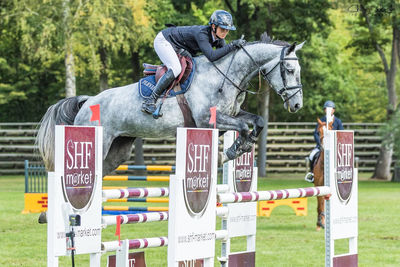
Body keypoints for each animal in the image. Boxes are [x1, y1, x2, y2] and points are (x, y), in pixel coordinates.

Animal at [38, 36, 306, 177]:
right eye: (289, 69)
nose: (297, 104)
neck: (225, 75)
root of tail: (88, 102)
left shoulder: (231, 114)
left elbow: (256, 121)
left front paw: (240, 147)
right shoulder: (208, 120)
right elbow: (241, 127)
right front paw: (237, 148)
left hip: (117, 151)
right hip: (99, 143)